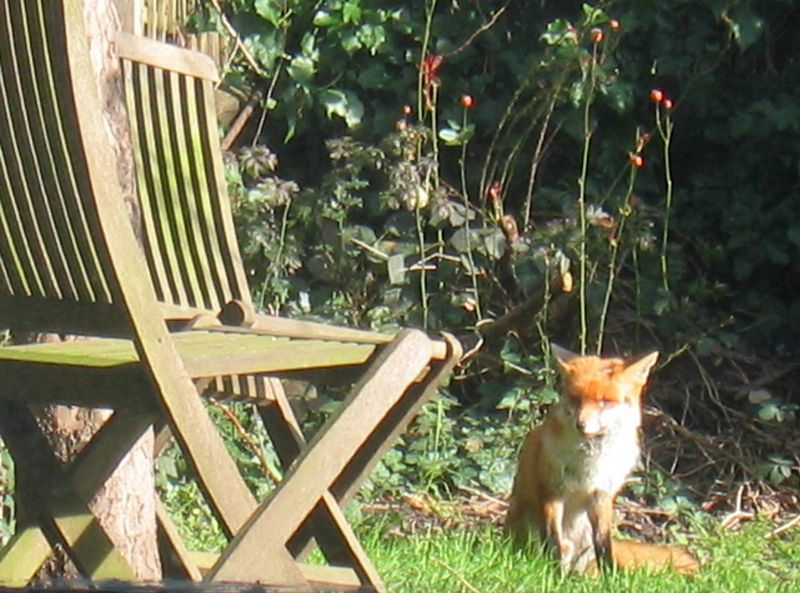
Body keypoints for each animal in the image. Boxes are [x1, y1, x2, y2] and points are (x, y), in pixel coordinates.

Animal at [506, 342, 700, 572]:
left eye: (605, 401)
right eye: (576, 399)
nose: (580, 424)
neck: (590, 463)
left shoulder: (602, 495)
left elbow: (604, 543)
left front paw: (610, 575)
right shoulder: (551, 492)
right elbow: (554, 542)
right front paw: (555, 574)